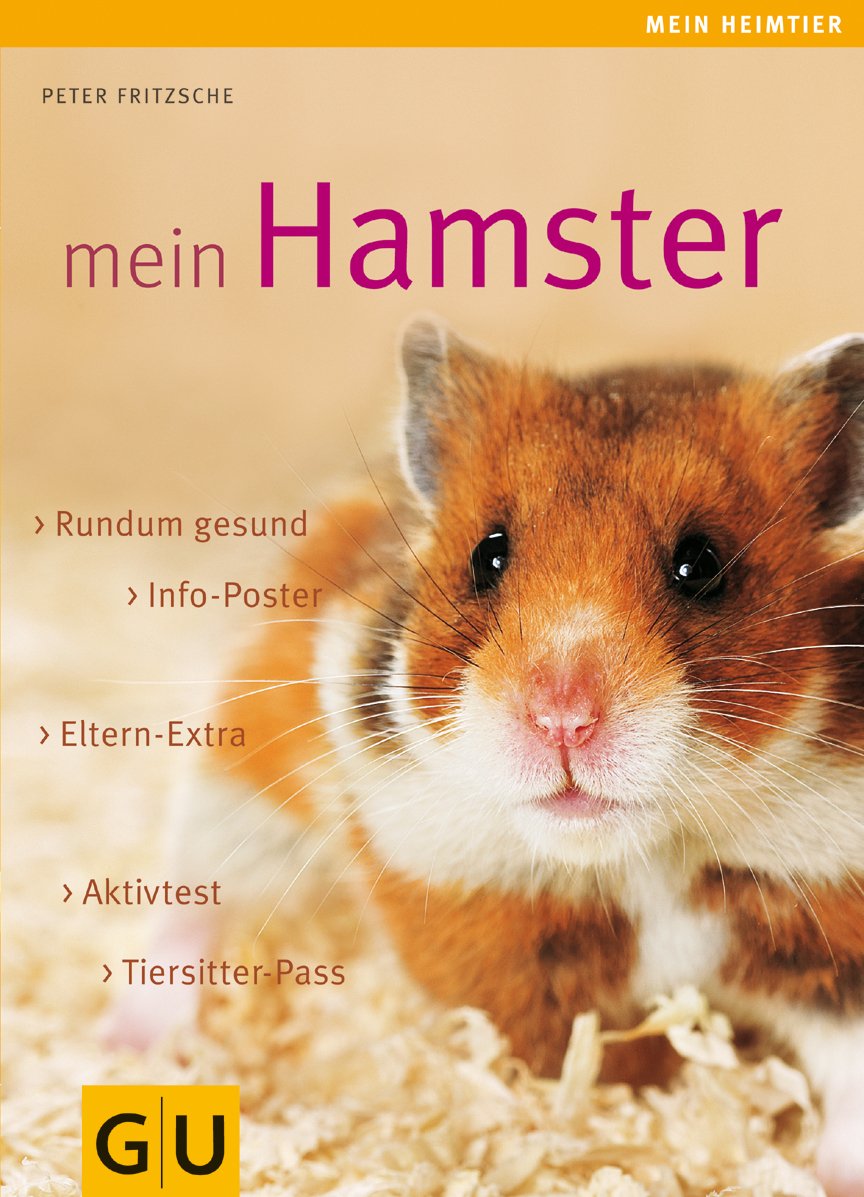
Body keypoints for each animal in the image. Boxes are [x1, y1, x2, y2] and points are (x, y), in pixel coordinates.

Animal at [123, 321, 864, 1196]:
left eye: (702, 564)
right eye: (488, 555)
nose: (561, 720)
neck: (639, 853)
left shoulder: (832, 940)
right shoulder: (485, 932)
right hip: (239, 779)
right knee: (195, 907)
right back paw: (134, 1045)